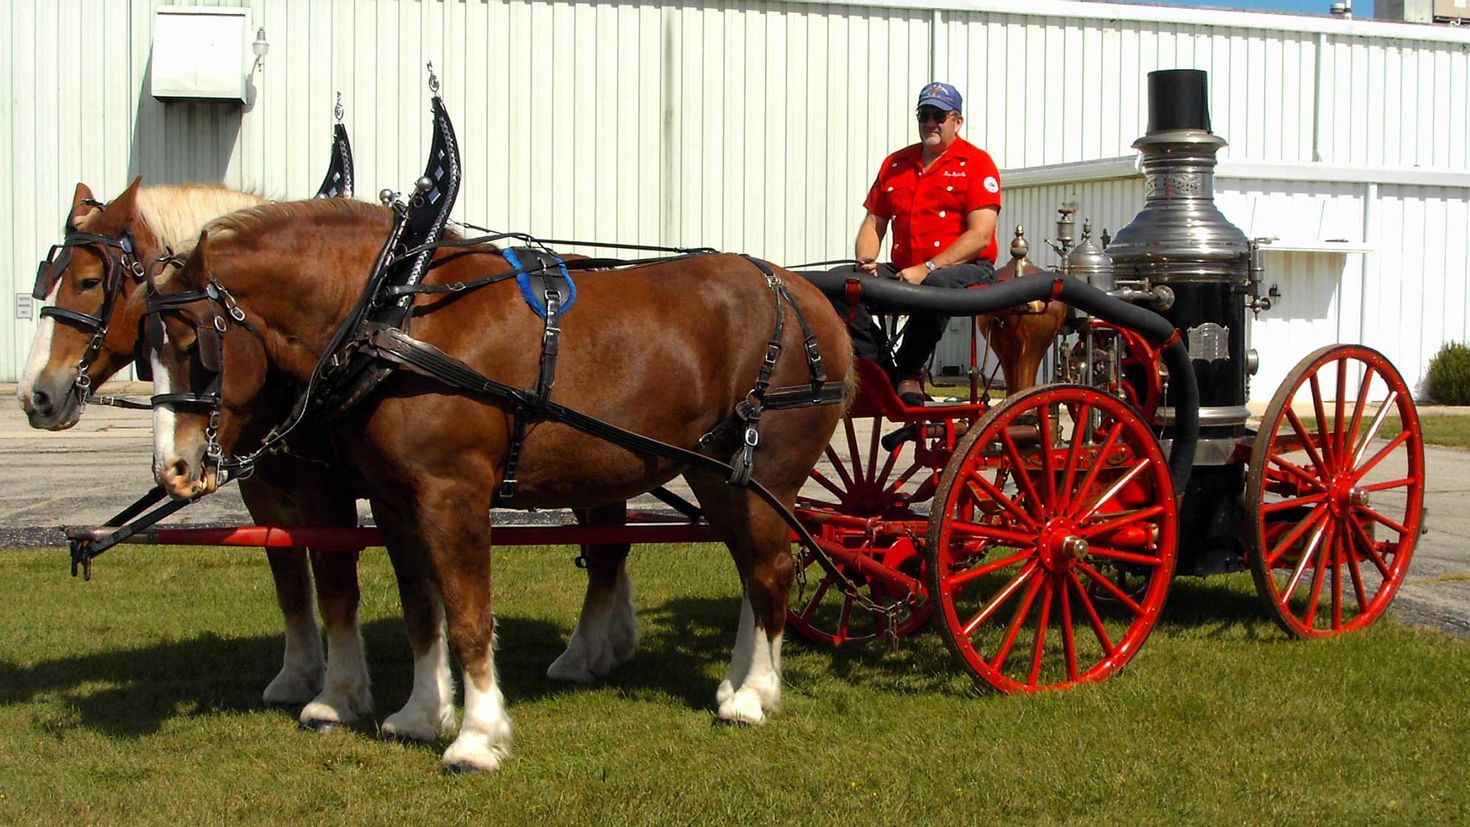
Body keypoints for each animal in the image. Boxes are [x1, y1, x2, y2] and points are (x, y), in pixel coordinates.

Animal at [15, 181, 382, 725]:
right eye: (48, 280)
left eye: (88, 281)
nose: (34, 396)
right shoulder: (265, 494)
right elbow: (289, 581)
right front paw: (296, 676)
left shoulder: (324, 491)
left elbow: (336, 584)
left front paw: (338, 696)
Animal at [147, 196, 852, 775]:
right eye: (147, 344)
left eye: (194, 343)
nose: (173, 468)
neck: (399, 316)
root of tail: (805, 295)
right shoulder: (396, 500)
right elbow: (422, 609)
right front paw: (420, 714)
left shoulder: (451, 493)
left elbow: (466, 615)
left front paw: (477, 737)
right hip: (719, 475)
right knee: (754, 571)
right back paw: (739, 682)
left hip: (762, 472)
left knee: (771, 570)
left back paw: (755, 695)